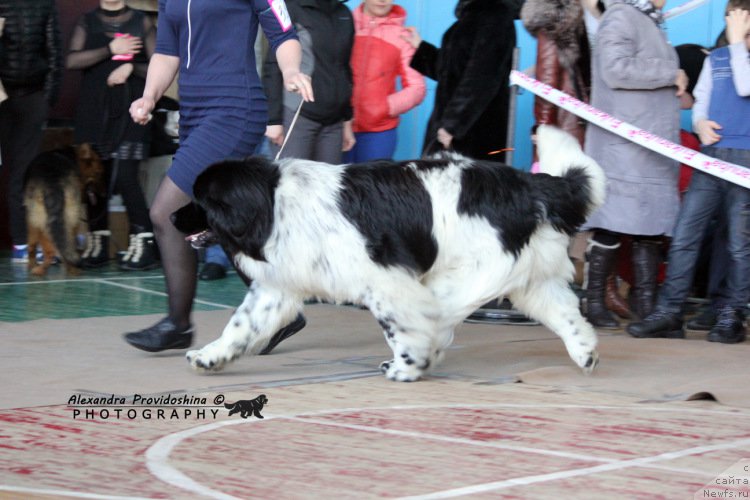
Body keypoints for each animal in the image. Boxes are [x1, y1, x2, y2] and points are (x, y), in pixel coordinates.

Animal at [24, 144, 105, 278]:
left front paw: (32, 264)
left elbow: (31, 245)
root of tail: (53, 179)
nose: (104, 195)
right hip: (69, 219)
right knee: (67, 245)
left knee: (50, 251)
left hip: (41, 222)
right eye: (98, 173)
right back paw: (72, 269)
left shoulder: (31, 220)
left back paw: (40, 270)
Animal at [176, 127, 612, 380]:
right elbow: (241, 326)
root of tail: (529, 183)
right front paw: (211, 357)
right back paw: (585, 353)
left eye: (199, 200)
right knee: (566, 313)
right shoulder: (277, 288)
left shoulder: (385, 282)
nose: (170, 215)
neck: (274, 202)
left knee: (436, 323)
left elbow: (401, 326)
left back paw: (418, 361)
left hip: (465, 277)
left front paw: (407, 365)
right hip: (527, 278)